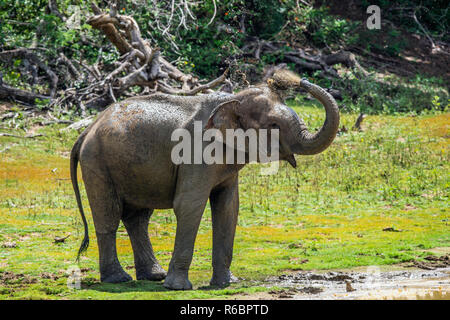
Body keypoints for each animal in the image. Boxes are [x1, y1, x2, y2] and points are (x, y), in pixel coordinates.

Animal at [69, 70, 338, 290]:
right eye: (273, 125)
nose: (294, 79)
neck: (232, 101)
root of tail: (87, 130)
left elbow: (228, 206)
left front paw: (226, 284)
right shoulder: (195, 152)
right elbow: (189, 204)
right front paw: (178, 288)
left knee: (138, 218)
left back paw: (153, 276)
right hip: (98, 163)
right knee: (109, 216)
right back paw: (119, 280)